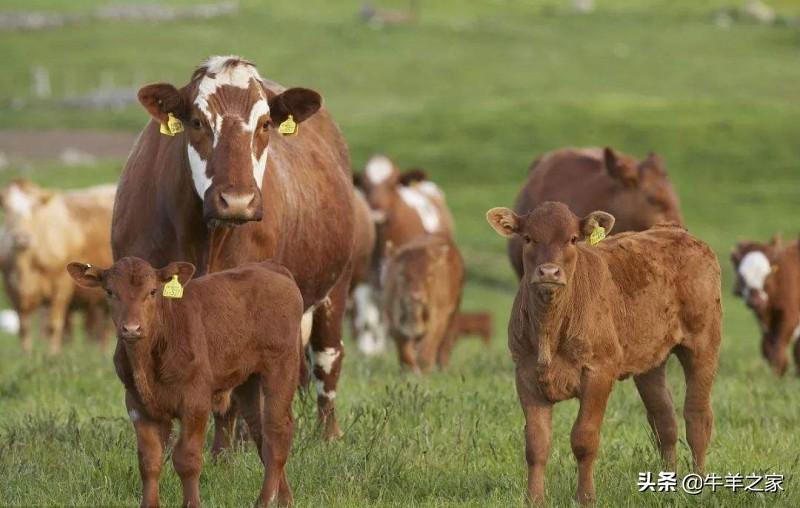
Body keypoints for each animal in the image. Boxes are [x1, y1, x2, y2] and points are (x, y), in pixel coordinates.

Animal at [65, 258, 302, 508]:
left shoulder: (195, 401)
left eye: (153, 291)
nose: (131, 328)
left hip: (281, 365)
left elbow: (187, 458)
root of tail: (270, 267)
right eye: (110, 292)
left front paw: (191, 503)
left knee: (277, 430)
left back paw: (264, 500)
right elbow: (149, 460)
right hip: (248, 380)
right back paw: (284, 498)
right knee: (259, 431)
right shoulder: (137, 404)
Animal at [111, 55, 354, 442]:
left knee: (326, 359)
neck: (204, 240)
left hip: (336, 285)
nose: (237, 200)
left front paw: (226, 451)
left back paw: (326, 434)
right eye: (197, 121)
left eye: (265, 123)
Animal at [384, 235, 466, 374]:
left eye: (430, 275)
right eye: (402, 274)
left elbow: (428, 348)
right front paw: (408, 372)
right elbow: (404, 352)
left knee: (446, 344)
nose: (416, 297)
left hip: (454, 312)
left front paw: (423, 371)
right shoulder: (393, 319)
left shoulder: (438, 318)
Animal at [732, 236, 800, 376]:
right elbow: (766, 346)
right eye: (742, 276)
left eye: (767, 274)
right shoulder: (763, 319)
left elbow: (779, 343)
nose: (755, 300)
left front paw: (780, 369)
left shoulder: (791, 315)